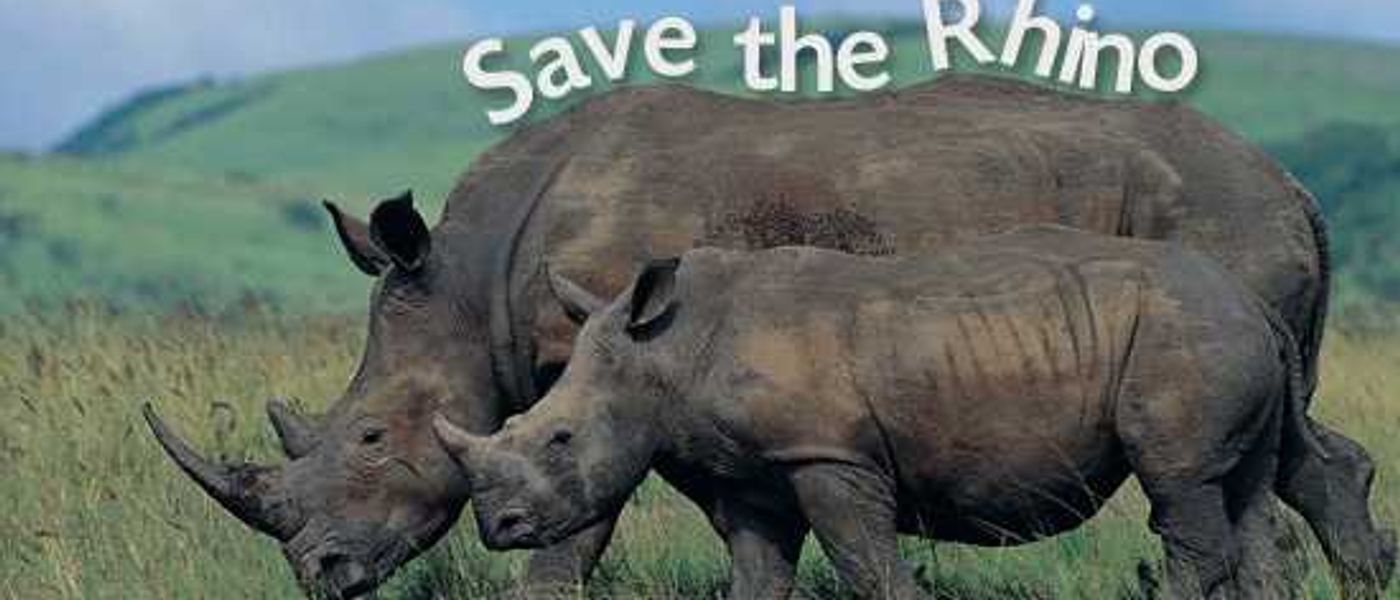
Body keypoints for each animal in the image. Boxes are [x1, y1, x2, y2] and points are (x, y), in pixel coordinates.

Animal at [436, 228, 1394, 599]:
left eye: (561, 438)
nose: (500, 527)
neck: (664, 350)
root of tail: (1248, 299)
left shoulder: (827, 452)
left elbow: (866, 562)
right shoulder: (751, 470)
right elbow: (758, 572)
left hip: (1182, 334)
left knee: (1184, 486)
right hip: (1218, 333)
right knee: (1249, 488)